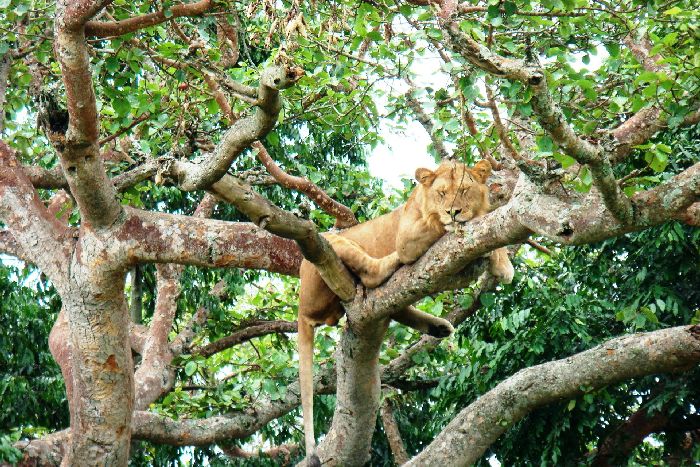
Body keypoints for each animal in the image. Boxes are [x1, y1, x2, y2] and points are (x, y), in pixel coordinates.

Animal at [297, 159, 514, 465]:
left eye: (465, 190)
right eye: (442, 194)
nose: (453, 211)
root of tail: (301, 310)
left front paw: (502, 261)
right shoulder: (410, 236)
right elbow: (441, 225)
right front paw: (456, 224)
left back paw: (438, 327)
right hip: (324, 246)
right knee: (373, 272)